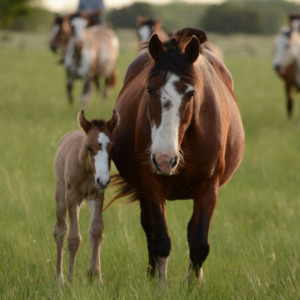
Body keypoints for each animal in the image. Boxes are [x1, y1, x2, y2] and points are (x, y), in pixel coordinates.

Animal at [53, 110, 119, 284]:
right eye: (89, 147)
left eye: (112, 147)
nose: (103, 180)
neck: (87, 169)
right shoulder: (72, 197)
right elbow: (73, 238)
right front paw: (70, 280)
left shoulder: (97, 195)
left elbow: (96, 231)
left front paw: (95, 276)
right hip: (60, 196)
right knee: (60, 230)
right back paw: (59, 277)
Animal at [111, 28, 245, 286]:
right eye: (149, 89)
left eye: (191, 93)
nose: (165, 159)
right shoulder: (152, 184)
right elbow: (161, 240)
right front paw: (160, 285)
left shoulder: (209, 186)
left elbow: (199, 244)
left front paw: (192, 285)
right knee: (149, 228)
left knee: (192, 231)